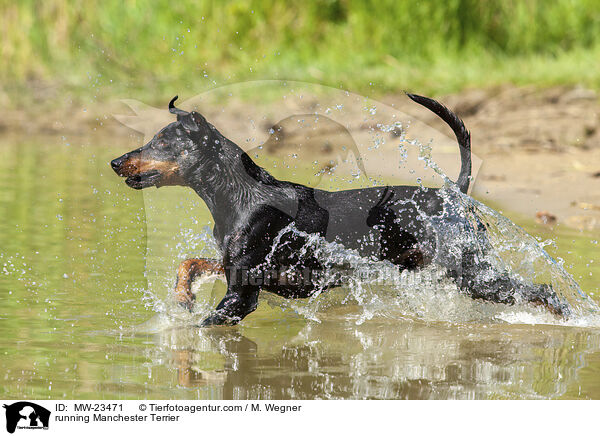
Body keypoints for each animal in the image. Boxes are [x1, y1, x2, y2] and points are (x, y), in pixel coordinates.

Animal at [111, 93, 568, 324]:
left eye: (162, 142)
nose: (116, 162)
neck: (240, 195)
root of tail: (453, 194)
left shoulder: (241, 296)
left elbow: (205, 327)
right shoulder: (233, 268)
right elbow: (190, 263)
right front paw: (183, 295)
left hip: (472, 273)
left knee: (543, 291)